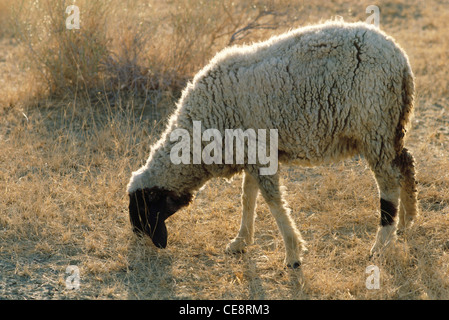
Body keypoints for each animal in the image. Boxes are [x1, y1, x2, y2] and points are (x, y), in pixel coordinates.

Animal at [126, 20, 416, 268]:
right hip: (390, 127)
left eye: (143, 209)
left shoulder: (259, 155)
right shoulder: (251, 152)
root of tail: (400, 58)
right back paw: (407, 221)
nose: (150, 246)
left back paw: (381, 244)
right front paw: (241, 242)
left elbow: (273, 201)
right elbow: (247, 197)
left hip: (375, 127)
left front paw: (293, 254)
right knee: (406, 163)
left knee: (389, 182)